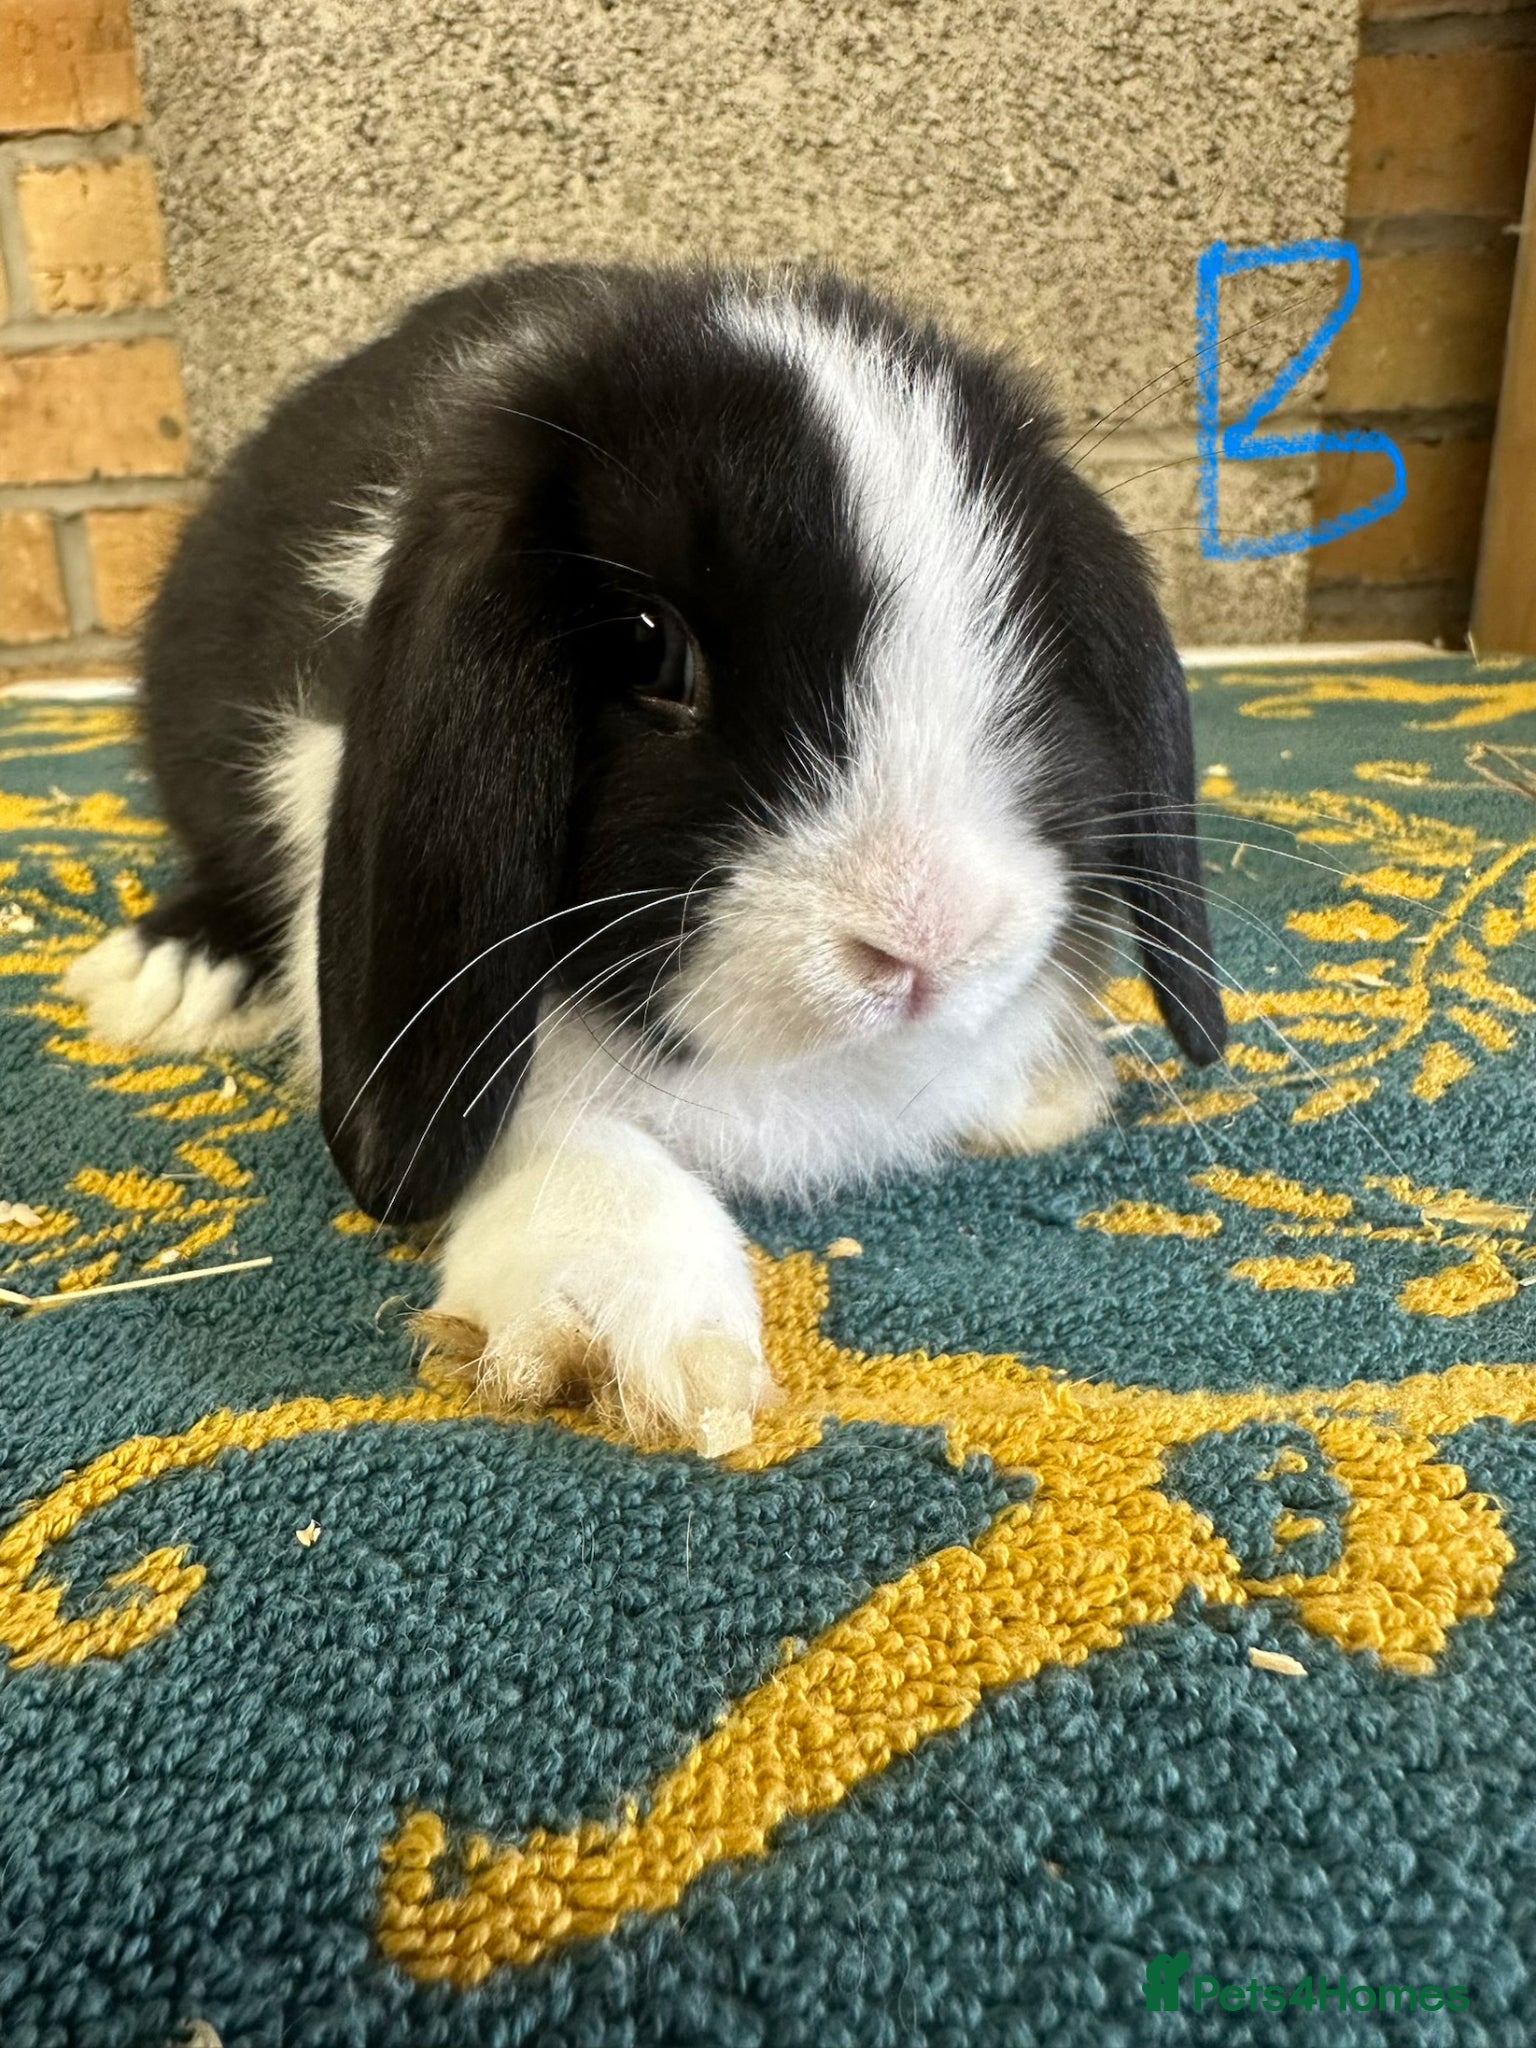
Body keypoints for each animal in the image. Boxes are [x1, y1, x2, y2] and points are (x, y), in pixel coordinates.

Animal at [63, 262, 1227, 1437]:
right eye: (648, 646)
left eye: (1027, 631)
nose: (926, 936)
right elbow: (552, 1117)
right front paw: (628, 1329)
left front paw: (1046, 1086)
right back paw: (173, 974)